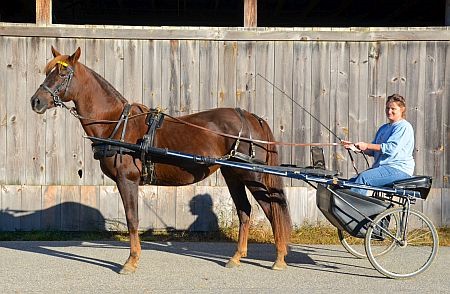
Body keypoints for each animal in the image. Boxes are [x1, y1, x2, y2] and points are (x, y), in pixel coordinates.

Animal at [30, 46, 292, 274]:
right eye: (48, 71)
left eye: (63, 73)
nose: (36, 101)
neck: (117, 123)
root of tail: (251, 117)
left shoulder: (127, 180)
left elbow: (132, 219)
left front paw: (131, 262)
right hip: (233, 175)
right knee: (244, 211)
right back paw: (237, 257)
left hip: (253, 175)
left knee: (272, 209)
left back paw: (279, 258)